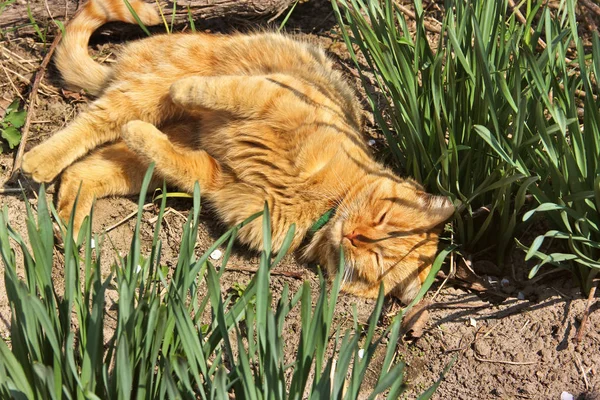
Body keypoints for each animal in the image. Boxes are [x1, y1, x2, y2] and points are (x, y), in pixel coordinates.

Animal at [22, 0, 454, 302]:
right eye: (384, 219)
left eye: (376, 258)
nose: (354, 235)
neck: (325, 202)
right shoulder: (274, 97)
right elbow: (218, 88)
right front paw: (188, 91)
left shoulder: (219, 182)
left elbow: (174, 158)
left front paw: (145, 135)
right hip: (150, 87)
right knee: (97, 121)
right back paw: (37, 162)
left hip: (142, 167)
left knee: (87, 167)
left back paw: (69, 226)